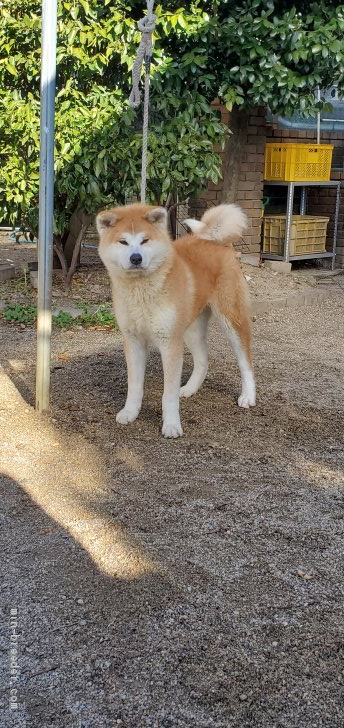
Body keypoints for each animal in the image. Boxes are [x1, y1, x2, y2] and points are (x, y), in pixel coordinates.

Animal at [97, 200, 255, 438]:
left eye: (145, 240)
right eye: (123, 242)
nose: (136, 258)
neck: (142, 291)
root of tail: (215, 240)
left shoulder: (169, 342)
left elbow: (168, 395)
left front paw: (171, 424)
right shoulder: (133, 341)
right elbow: (134, 386)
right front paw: (130, 412)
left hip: (231, 319)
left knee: (245, 362)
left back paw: (248, 396)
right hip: (190, 329)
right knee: (202, 360)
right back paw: (189, 389)